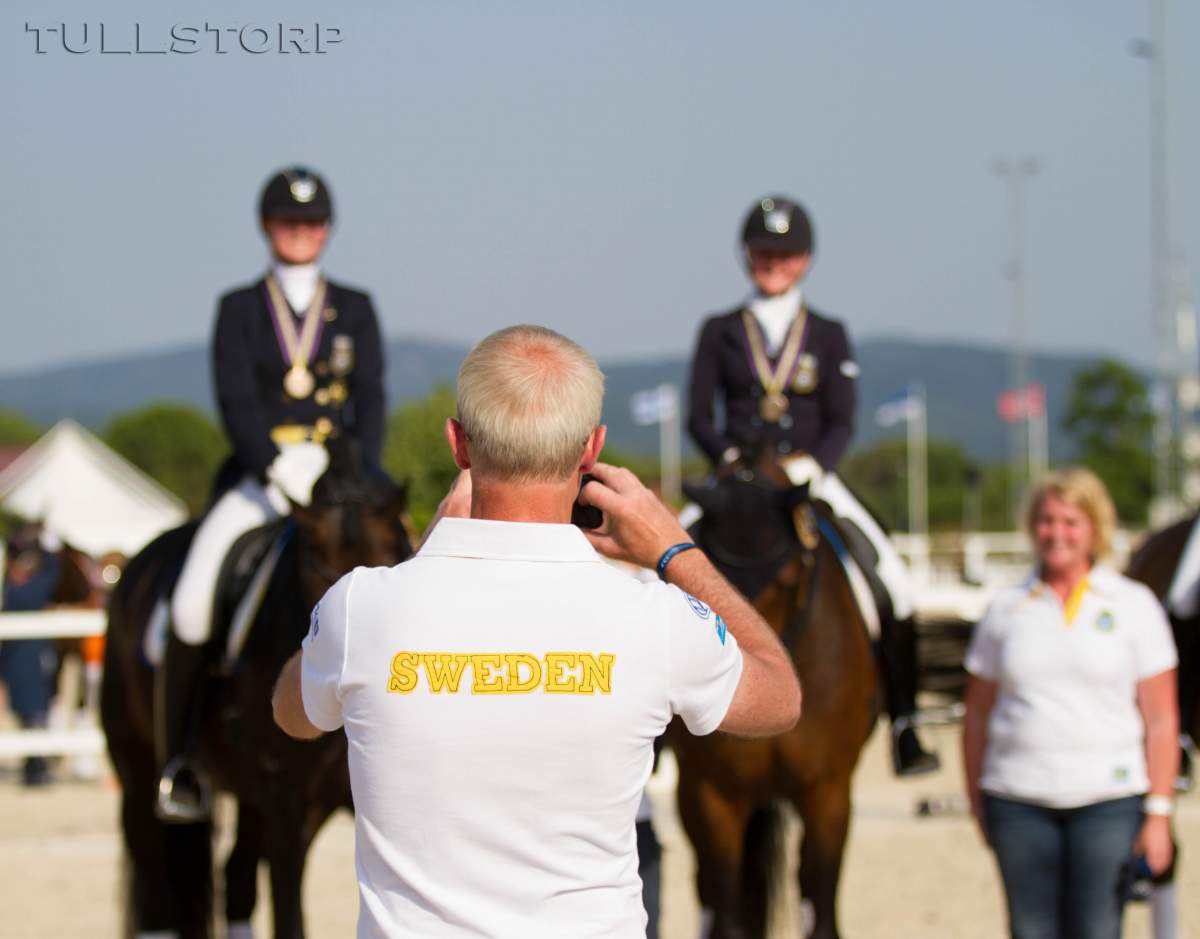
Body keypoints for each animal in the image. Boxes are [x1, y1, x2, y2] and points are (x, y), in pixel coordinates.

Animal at [101, 448, 412, 938]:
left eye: (395, 557)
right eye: (319, 577)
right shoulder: (286, 807)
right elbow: (289, 919)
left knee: (234, 878)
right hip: (137, 770)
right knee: (156, 882)